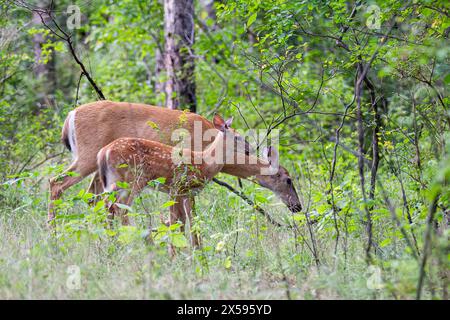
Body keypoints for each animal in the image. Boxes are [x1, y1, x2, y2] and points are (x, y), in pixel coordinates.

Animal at [49, 101, 300, 224]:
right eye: (288, 180)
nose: (297, 207)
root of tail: (69, 117)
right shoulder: (185, 180)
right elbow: (186, 217)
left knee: (92, 197)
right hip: (89, 155)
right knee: (56, 182)